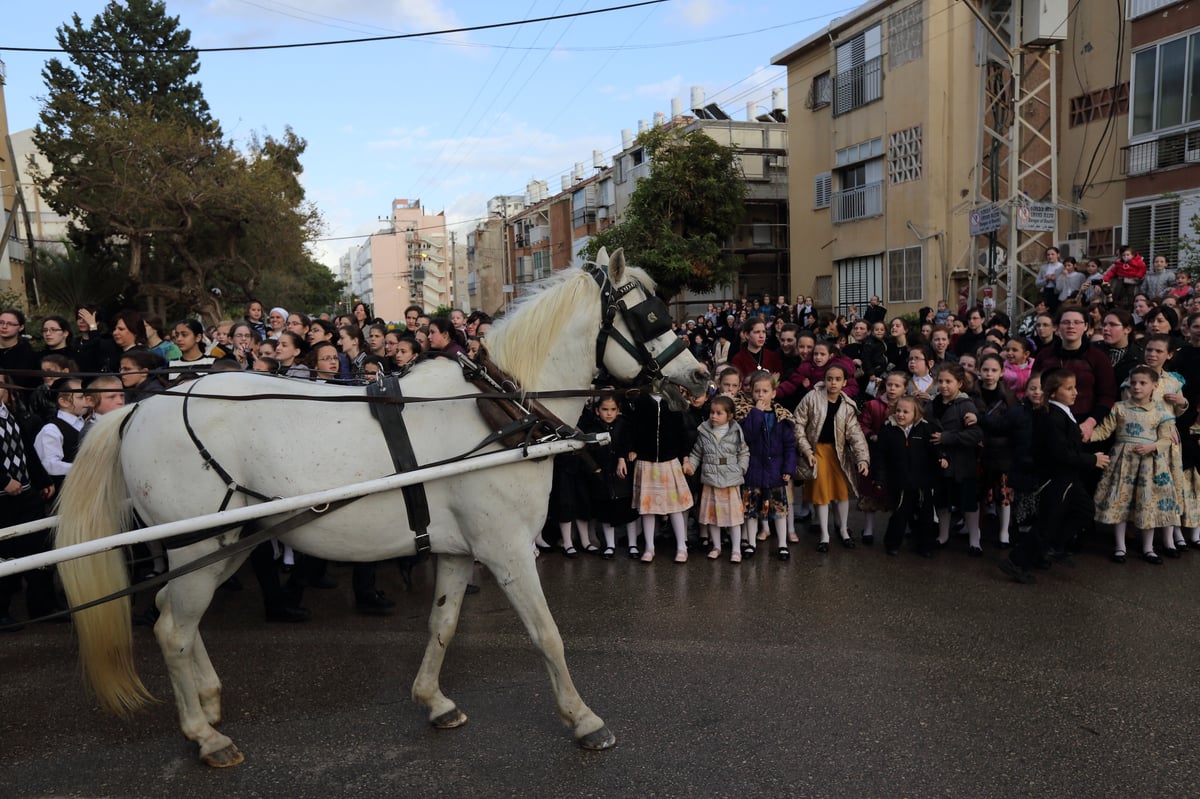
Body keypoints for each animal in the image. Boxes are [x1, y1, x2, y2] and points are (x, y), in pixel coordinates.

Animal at [56, 250, 705, 767]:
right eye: (651, 317)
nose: (698, 379)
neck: (498, 411)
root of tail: (138, 409)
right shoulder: (508, 549)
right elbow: (547, 635)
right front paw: (584, 719)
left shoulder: (459, 551)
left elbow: (443, 624)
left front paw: (434, 701)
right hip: (200, 543)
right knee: (171, 628)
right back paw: (203, 735)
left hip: (225, 544)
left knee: (178, 617)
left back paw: (209, 702)